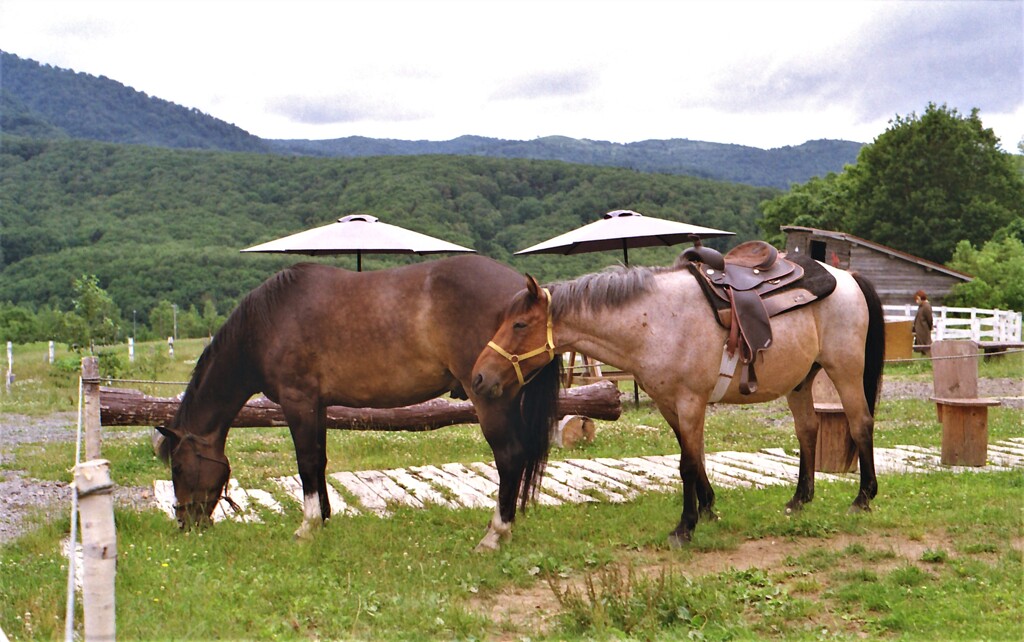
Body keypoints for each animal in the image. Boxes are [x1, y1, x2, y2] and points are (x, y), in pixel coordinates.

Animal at [157, 255, 561, 552]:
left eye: (179, 466)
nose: (184, 522)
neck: (266, 323)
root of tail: (528, 293)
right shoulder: (317, 406)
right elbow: (319, 461)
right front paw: (324, 519)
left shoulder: (298, 401)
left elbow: (306, 462)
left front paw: (307, 527)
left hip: (490, 399)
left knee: (509, 457)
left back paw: (495, 534)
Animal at [475, 261, 884, 548]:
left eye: (520, 325)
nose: (479, 377)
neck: (655, 322)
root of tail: (847, 276)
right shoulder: (670, 405)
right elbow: (694, 457)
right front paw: (709, 509)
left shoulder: (690, 402)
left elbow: (687, 464)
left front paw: (685, 527)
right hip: (800, 382)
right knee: (807, 430)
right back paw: (800, 499)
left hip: (845, 371)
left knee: (860, 424)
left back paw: (862, 498)